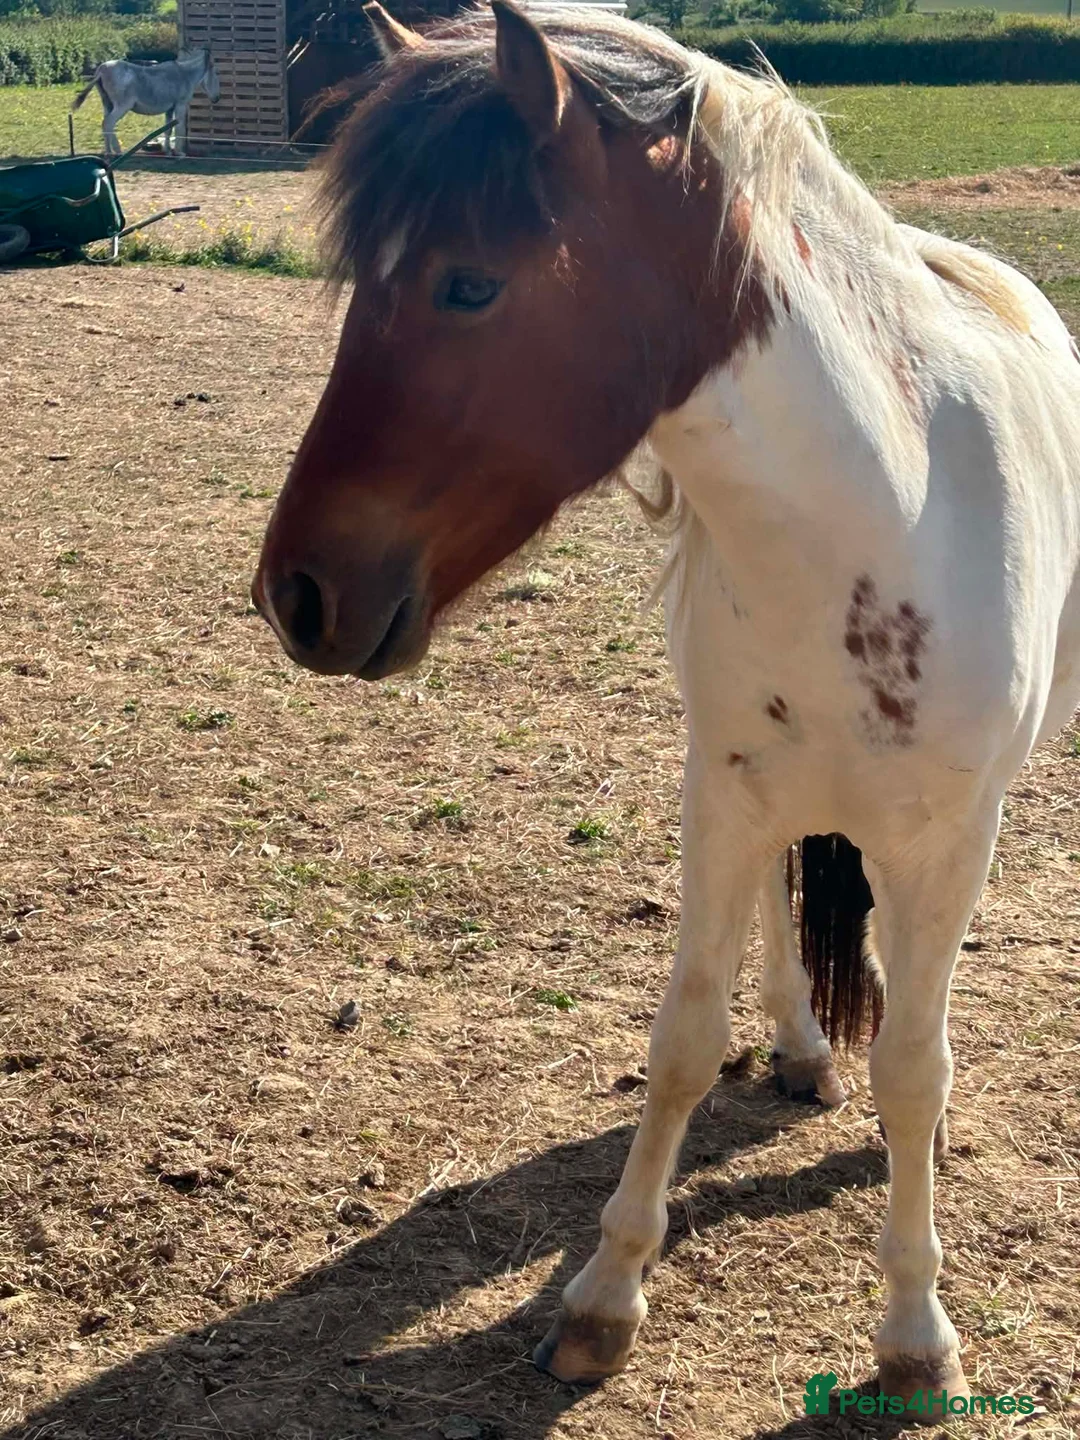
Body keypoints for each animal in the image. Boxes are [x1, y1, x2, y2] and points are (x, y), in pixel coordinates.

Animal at [72, 48, 220, 159]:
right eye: (215, 72)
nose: (217, 99)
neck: (184, 75)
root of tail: (101, 69)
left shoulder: (170, 109)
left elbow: (168, 129)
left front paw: (167, 151)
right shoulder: (180, 105)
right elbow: (179, 128)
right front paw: (179, 153)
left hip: (107, 104)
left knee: (105, 124)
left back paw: (108, 152)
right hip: (122, 106)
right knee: (109, 123)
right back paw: (118, 152)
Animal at [252, 1, 1080, 1408]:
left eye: (469, 283)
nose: (294, 594)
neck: (885, 516)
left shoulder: (951, 835)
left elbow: (916, 1066)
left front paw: (915, 1333)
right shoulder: (724, 793)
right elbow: (685, 1037)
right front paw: (604, 1296)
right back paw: (801, 1046)